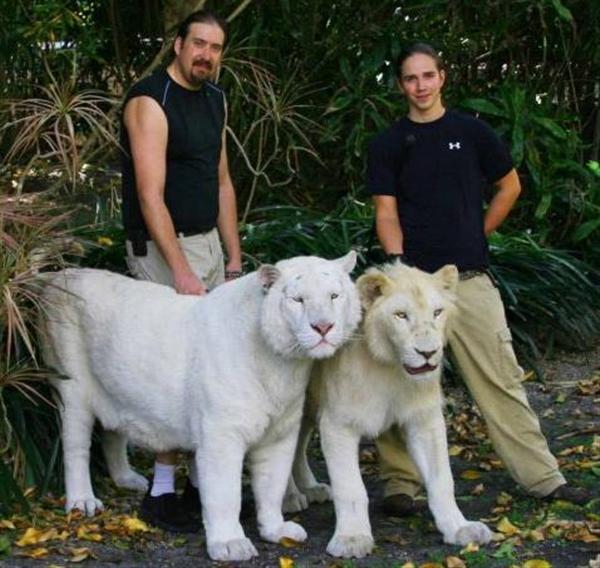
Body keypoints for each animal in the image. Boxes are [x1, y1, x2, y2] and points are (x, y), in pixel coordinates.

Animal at [284, 262, 492, 560]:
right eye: (401, 315)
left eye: (437, 312)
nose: (428, 353)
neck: (391, 368)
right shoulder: (339, 424)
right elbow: (351, 488)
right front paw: (352, 539)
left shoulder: (425, 420)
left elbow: (442, 480)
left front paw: (460, 528)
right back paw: (290, 497)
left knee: (299, 446)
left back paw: (312, 488)